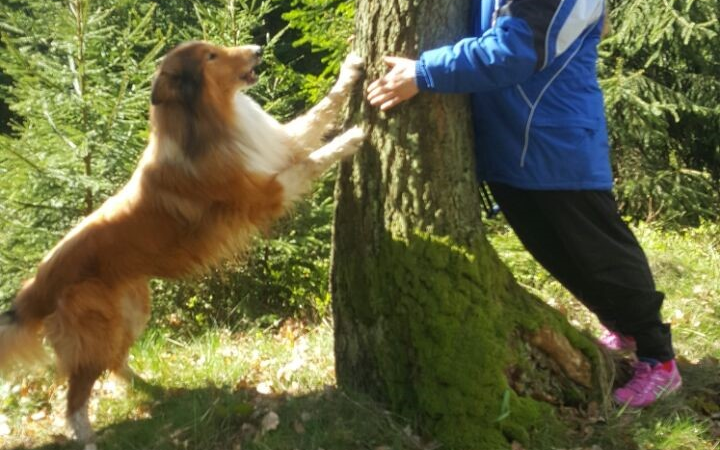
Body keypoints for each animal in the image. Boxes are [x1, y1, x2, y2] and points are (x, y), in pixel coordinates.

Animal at [0, 40, 366, 448]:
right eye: (211, 57)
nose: (257, 48)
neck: (209, 124)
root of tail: (34, 285)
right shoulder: (265, 194)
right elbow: (312, 161)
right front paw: (355, 135)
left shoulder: (278, 144)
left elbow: (318, 114)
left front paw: (351, 70)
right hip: (97, 328)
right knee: (76, 392)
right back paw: (86, 435)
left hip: (132, 311)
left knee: (112, 363)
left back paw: (152, 389)